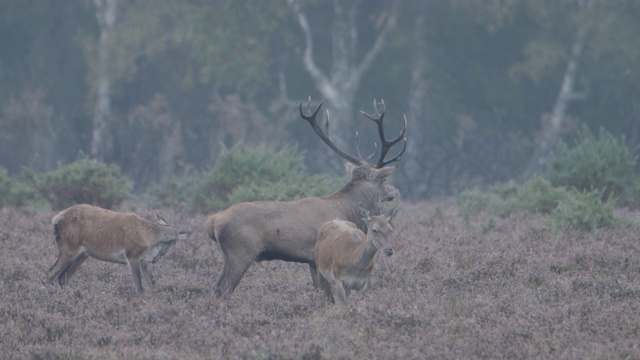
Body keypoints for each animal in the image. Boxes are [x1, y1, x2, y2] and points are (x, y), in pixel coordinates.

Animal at [46, 202, 191, 292]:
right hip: (68, 249)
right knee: (50, 273)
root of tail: (54, 220)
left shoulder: (145, 261)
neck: (148, 239)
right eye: (171, 241)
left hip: (82, 254)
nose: (155, 259)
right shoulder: (131, 255)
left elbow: (153, 286)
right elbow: (139, 287)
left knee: (63, 277)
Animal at [205, 98, 404, 298]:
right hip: (241, 252)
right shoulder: (319, 258)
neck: (348, 210)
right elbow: (327, 294)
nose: (396, 191)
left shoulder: (311, 261)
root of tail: (213, 221)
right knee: (224, 289)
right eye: (384, 179)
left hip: (229, 257)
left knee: (216, 287)